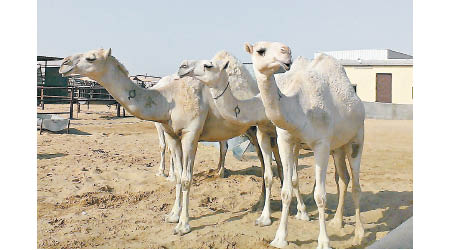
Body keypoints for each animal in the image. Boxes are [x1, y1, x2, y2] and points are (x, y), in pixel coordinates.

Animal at [59, 48, 284, 236]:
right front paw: (172, 215)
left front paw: (183, 225)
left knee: (271, 162)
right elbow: (177, 175)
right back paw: (261, 204)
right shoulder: (172, 135)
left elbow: (186, 179)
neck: (168, 100)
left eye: (91, 58)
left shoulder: (191, 134)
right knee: (268, 163)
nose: (64, 63)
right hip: (253, 131)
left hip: (264, 128)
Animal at [246, 41, 366, 248]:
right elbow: (286, 190)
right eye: (260, 51)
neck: (299, 107)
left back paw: (359, 234)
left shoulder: (321, 144)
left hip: (357, 137)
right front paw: (279, 238)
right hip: (338, 147)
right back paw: (337, 222)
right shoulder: (285, 140)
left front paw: (324, 242)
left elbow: (320, 196)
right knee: (344, 178)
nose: (286, 51)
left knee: (356, 185)